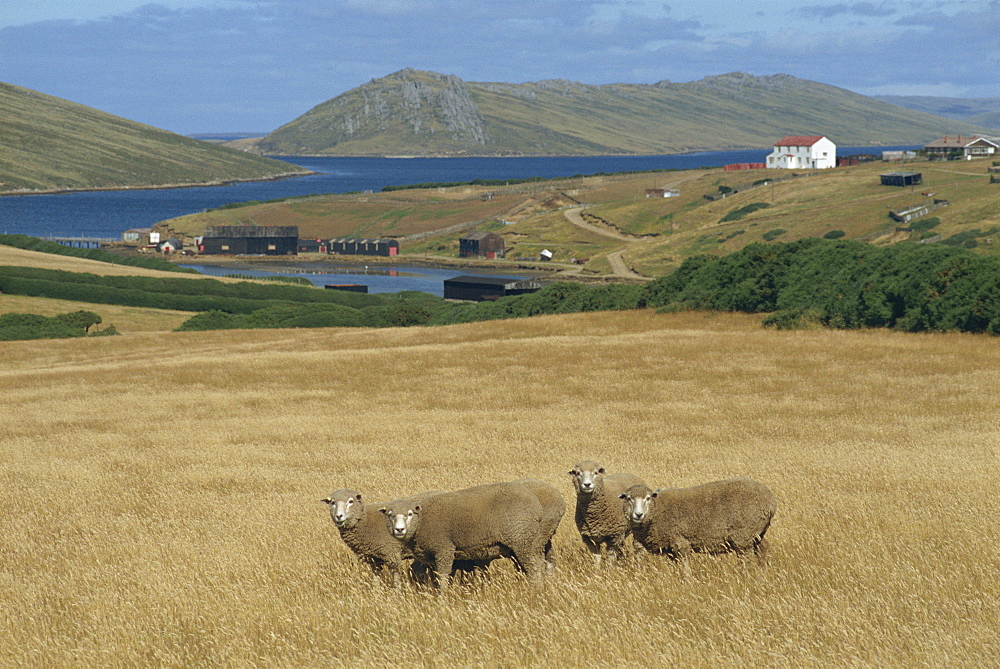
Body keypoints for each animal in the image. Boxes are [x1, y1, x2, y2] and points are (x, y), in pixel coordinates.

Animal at [616, 478, 780, 568]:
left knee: (747, 559)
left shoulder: (680, 543)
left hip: (743, 536)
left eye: (648, 498)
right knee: (763, 550)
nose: (638, 514)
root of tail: (771, 500)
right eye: (629, 498)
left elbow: (685, 569)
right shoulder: (671, 549)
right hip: (757, 534)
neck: (657, 512)